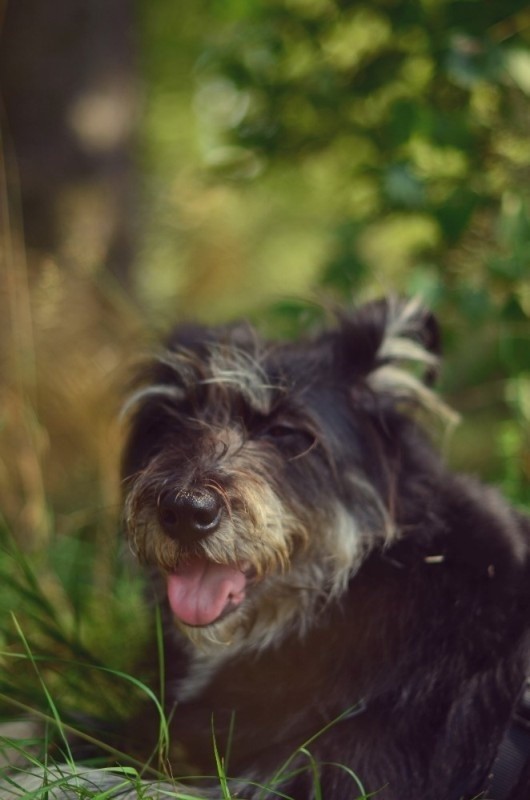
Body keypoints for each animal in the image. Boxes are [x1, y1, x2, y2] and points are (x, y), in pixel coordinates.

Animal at [6, 296, 528, 796]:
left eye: (285, 431)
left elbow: (100, 781)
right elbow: (44, 726)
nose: (185, 512)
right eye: (172, 418)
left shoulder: (343, 776)